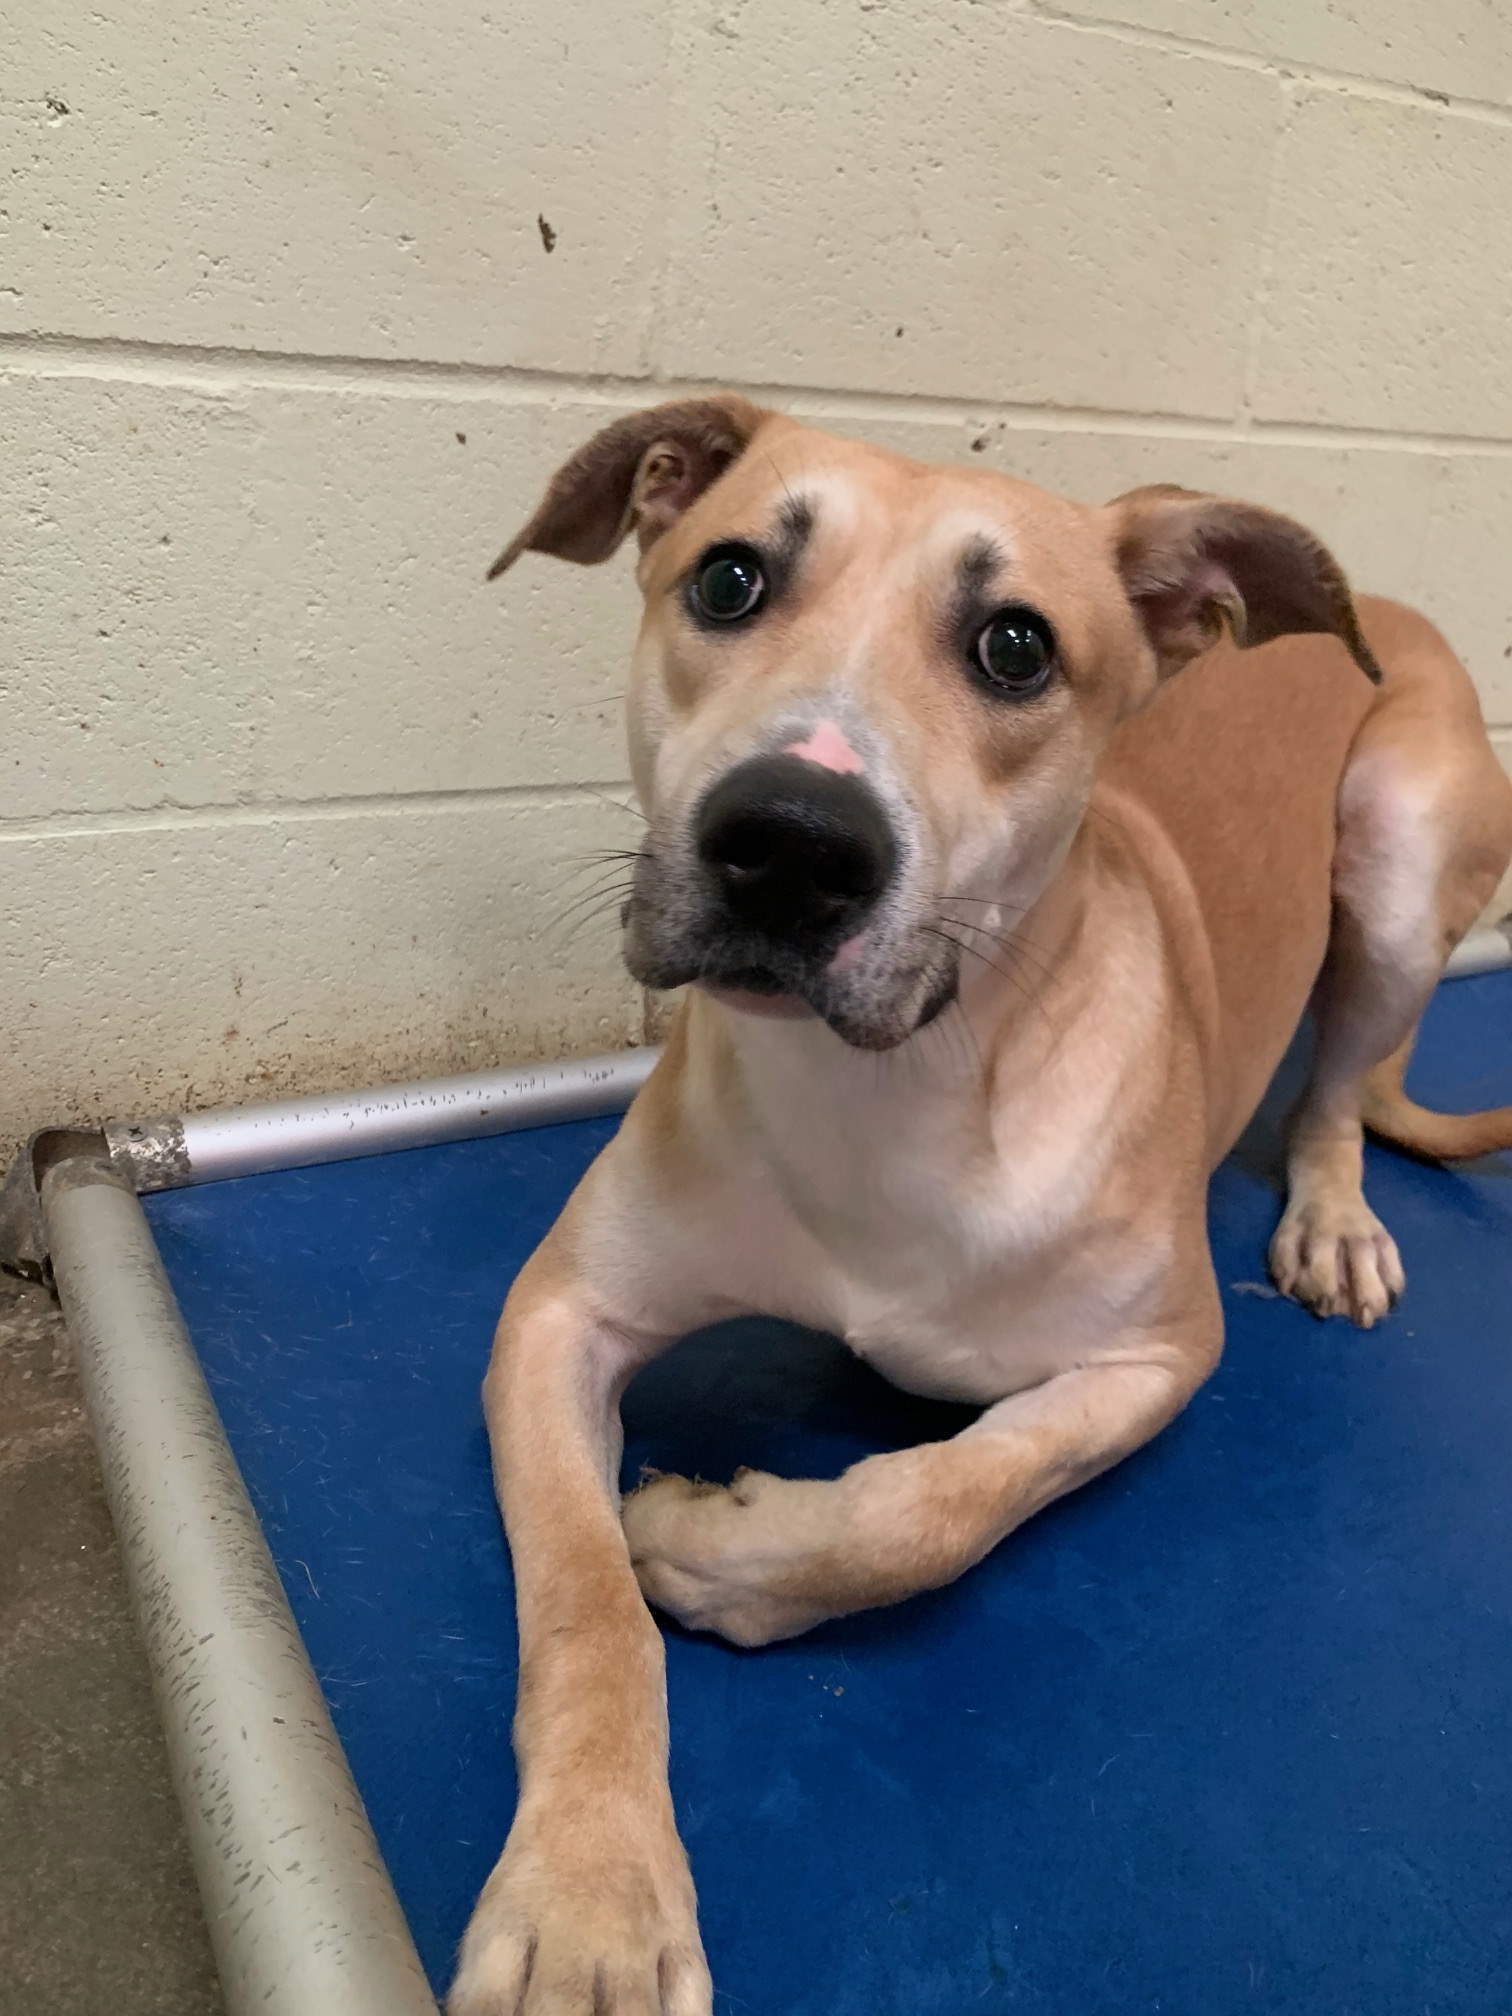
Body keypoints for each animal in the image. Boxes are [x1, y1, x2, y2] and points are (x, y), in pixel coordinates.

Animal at [447, 397, 1512, 2016]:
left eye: (1016, 646)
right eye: (730, 580)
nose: (792, 838)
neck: (890, 1095)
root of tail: (1381, 610)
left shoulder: (1160, 1358)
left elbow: (940, 1502)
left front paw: (724, 1545)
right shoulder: (561, 1313)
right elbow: (583, 1610)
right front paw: (590, 1894)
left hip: (1398, 860)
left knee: (1338, 1091)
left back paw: (1331, 1215)